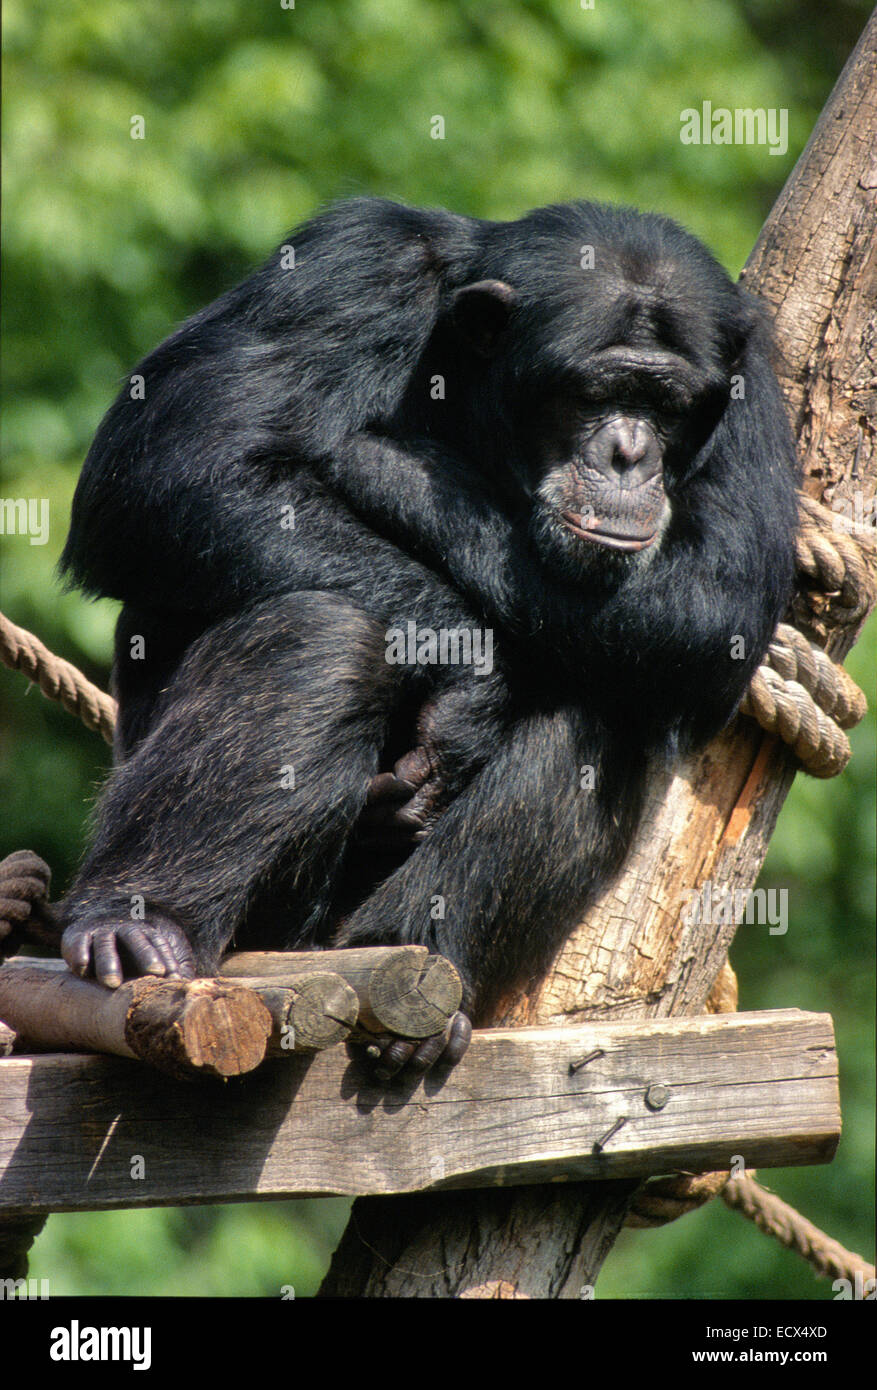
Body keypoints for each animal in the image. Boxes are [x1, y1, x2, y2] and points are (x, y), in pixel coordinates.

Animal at [56, 195, 800, 1073]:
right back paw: (139, 926)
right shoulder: (351, 262)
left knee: (598, 714)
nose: (629, 452)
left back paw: (414, 972)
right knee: (323, 633)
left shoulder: (753, 380)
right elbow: (173, 470)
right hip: (271, 931)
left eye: (669, 405)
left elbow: (715, 605)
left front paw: (398, 470)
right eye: (597, 391)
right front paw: (469, 670)